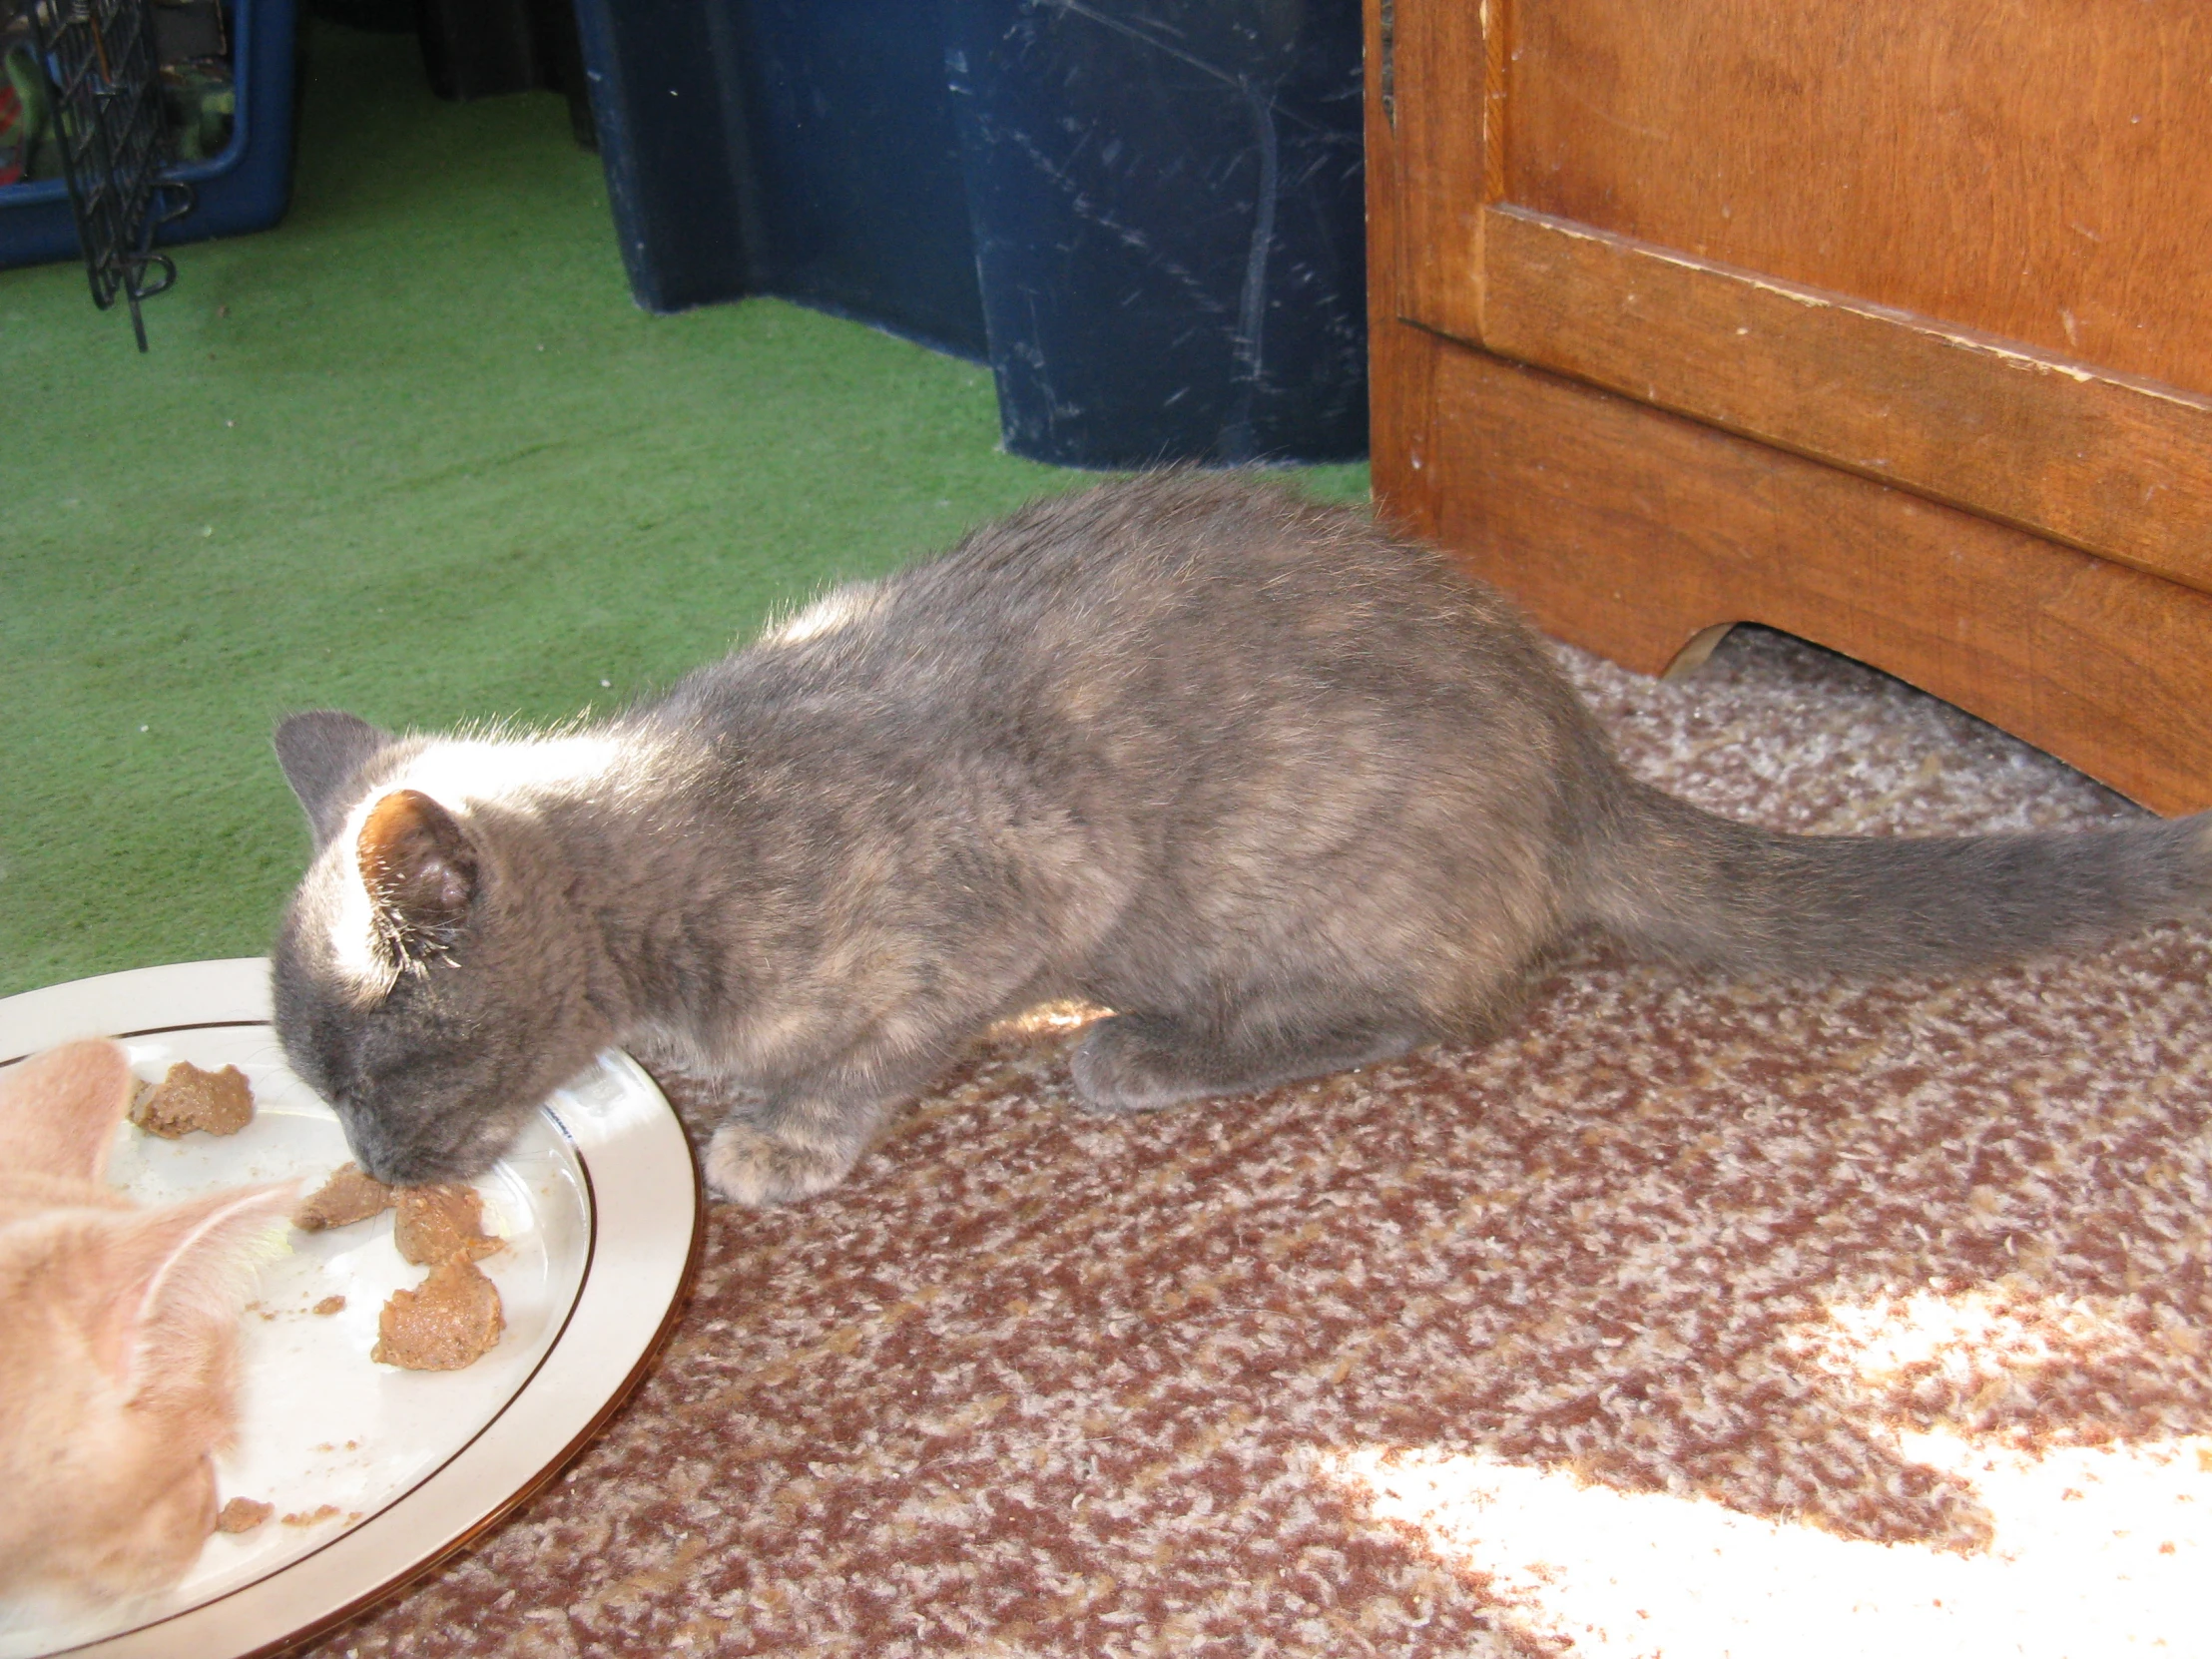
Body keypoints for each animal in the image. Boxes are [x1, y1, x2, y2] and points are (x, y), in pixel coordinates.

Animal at [263, 473, 2212, 1203]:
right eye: (316, 1087)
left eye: (383, 1063)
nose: (375, 1170)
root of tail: (1579, 754)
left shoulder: (1009, 886)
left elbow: (881, 1044)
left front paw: (785, 1132)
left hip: (1263, 872)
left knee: (1418, 1005)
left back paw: (1141, 1049)